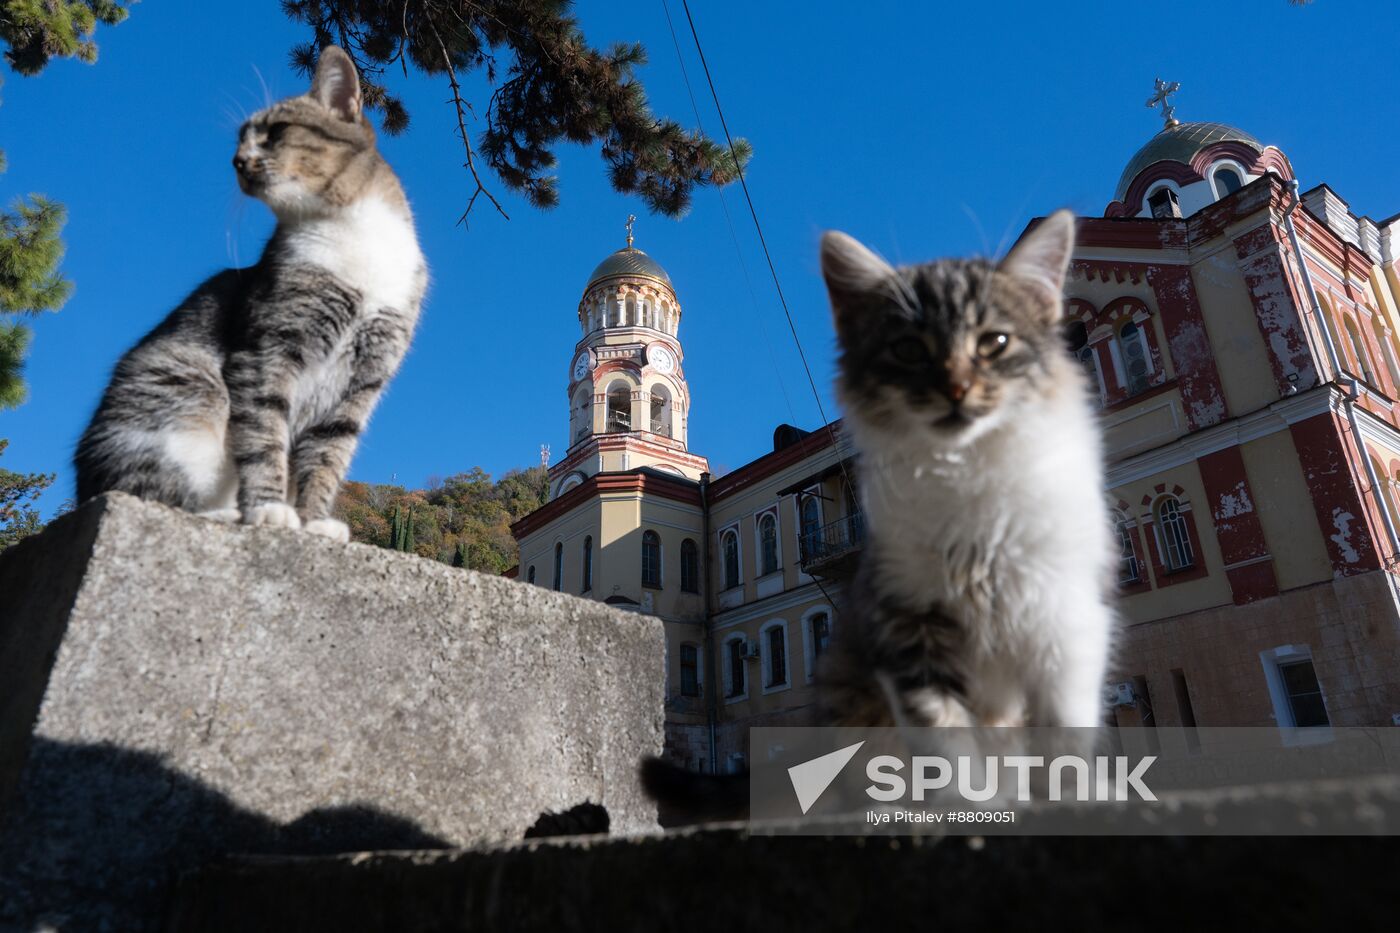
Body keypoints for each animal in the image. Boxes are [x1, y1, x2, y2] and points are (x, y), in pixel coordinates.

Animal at [75, 47, 425, 537]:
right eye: (239, 141)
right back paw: (228, 513)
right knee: (152, 490)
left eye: (277, 132)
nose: (237, 162)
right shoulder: (266, 351)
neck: (352, 233)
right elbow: (264, 436)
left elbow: (328, 457)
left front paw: (315, 521)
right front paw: (269, 508)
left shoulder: (363, 381)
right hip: (187, 395)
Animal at [817, 210, 1114, 728]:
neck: (968, 467)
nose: (955, 389)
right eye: (909, 349)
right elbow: (948, 740)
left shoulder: (1064, 621)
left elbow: (1065, 734)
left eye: (994, 343)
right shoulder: (908, 627)